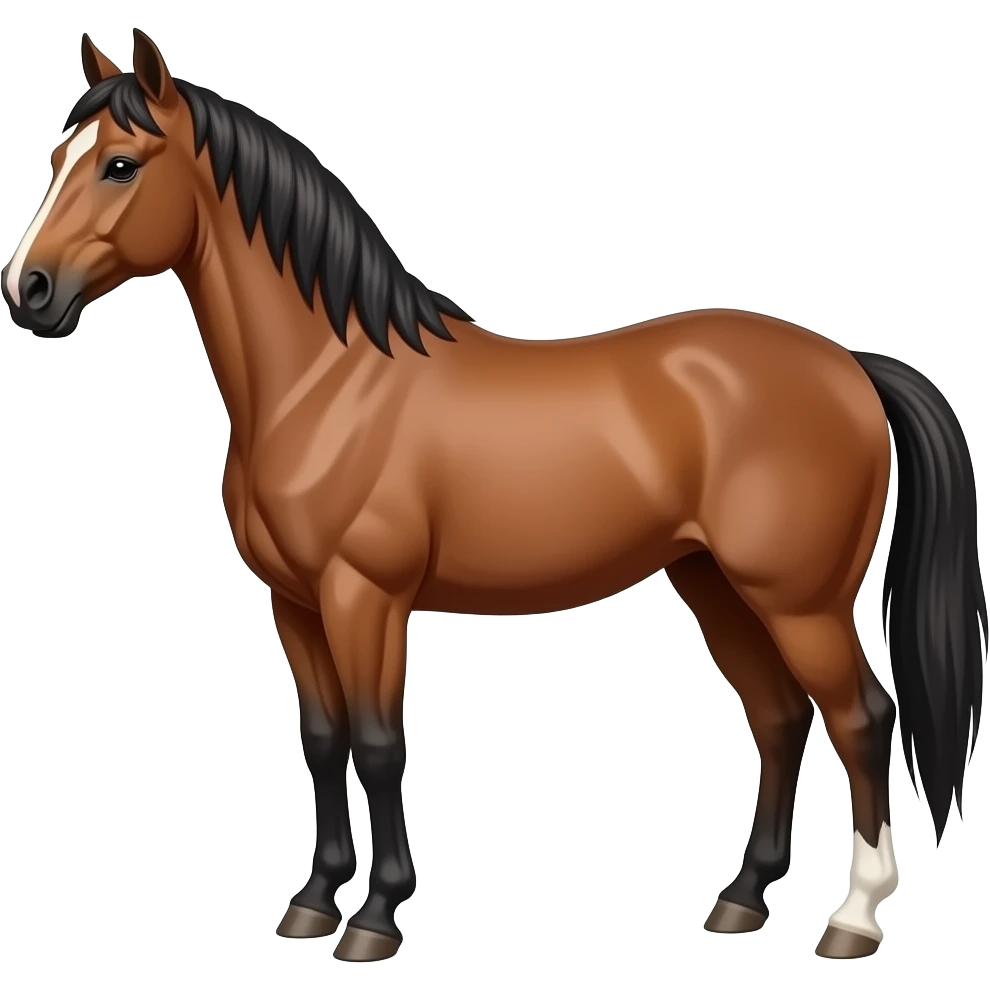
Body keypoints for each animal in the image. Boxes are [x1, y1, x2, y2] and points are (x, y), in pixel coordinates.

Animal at [2, 28, 986, 964]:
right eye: (56, 156)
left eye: (120, 163)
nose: (29, 291)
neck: (330, 381)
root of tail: (849, 365)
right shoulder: (295, 603)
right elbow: (322, 742)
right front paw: (312, 904)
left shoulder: (365, 597)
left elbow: (378, 743)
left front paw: (375, 919)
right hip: (715, 584)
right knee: (780, 720)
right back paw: (742, 901)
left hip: (799, 600)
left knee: (863, 719)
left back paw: (853, 918)